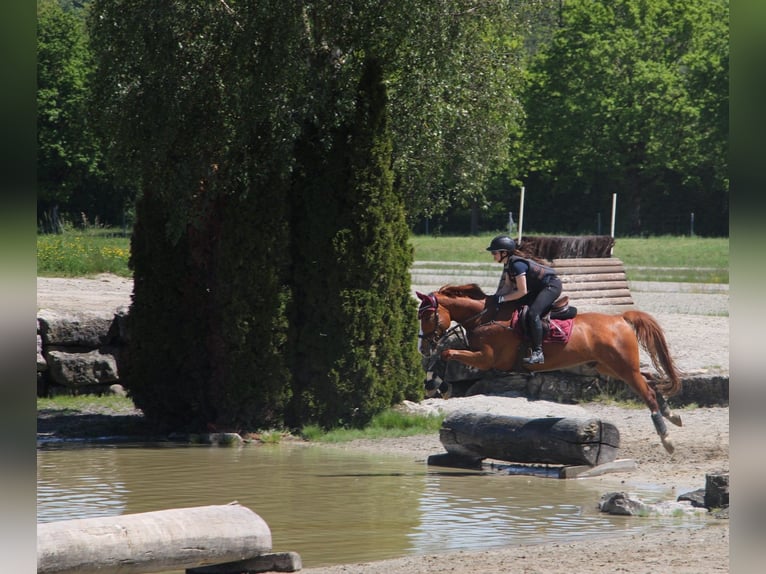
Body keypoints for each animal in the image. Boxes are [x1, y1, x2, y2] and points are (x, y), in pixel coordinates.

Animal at [416, 284, 688, 454]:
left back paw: (667, 438)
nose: (422, 347)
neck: (484, 317)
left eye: (427, 316)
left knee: (647, 392)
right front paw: (432, 383)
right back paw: (672, 415)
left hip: (623, 367)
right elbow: (444, 354)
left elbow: (446, 353)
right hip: (610, 366)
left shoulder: (487, 359)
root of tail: (619, 318)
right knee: (650, 378)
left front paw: (438, 384)